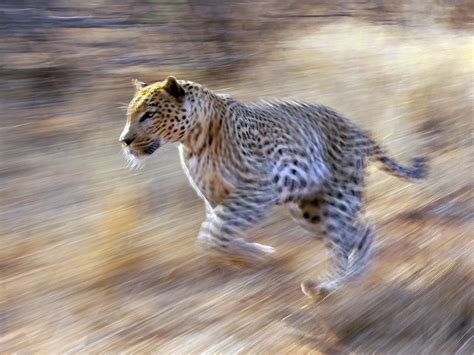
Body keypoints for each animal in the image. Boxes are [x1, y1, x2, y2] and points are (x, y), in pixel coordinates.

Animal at [119, 76, 430, 298]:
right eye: (130, 115)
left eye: (148, 115)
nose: (124, 141)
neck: (192, 141)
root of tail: (356, 128)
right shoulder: (215, 197)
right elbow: (219, 232)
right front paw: (255, 255)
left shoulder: (256, 189)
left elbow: (213, 234)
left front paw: (254, 255)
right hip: (310, 210)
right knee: (359, 232)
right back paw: (352, 280)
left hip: (337, 198)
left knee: (347, 240)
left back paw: (326, 287)